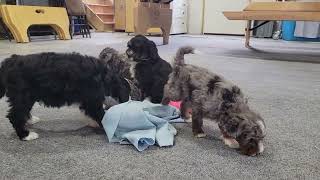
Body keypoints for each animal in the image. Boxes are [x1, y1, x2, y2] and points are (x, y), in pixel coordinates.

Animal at [0, 52, 130, 141]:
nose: (129, 101)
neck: (104, 76)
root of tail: (10, 61)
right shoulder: (91, 100)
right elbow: (101, 115)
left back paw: (30, 120)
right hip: (23, 96)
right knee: (15, 116)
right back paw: (25, 135)